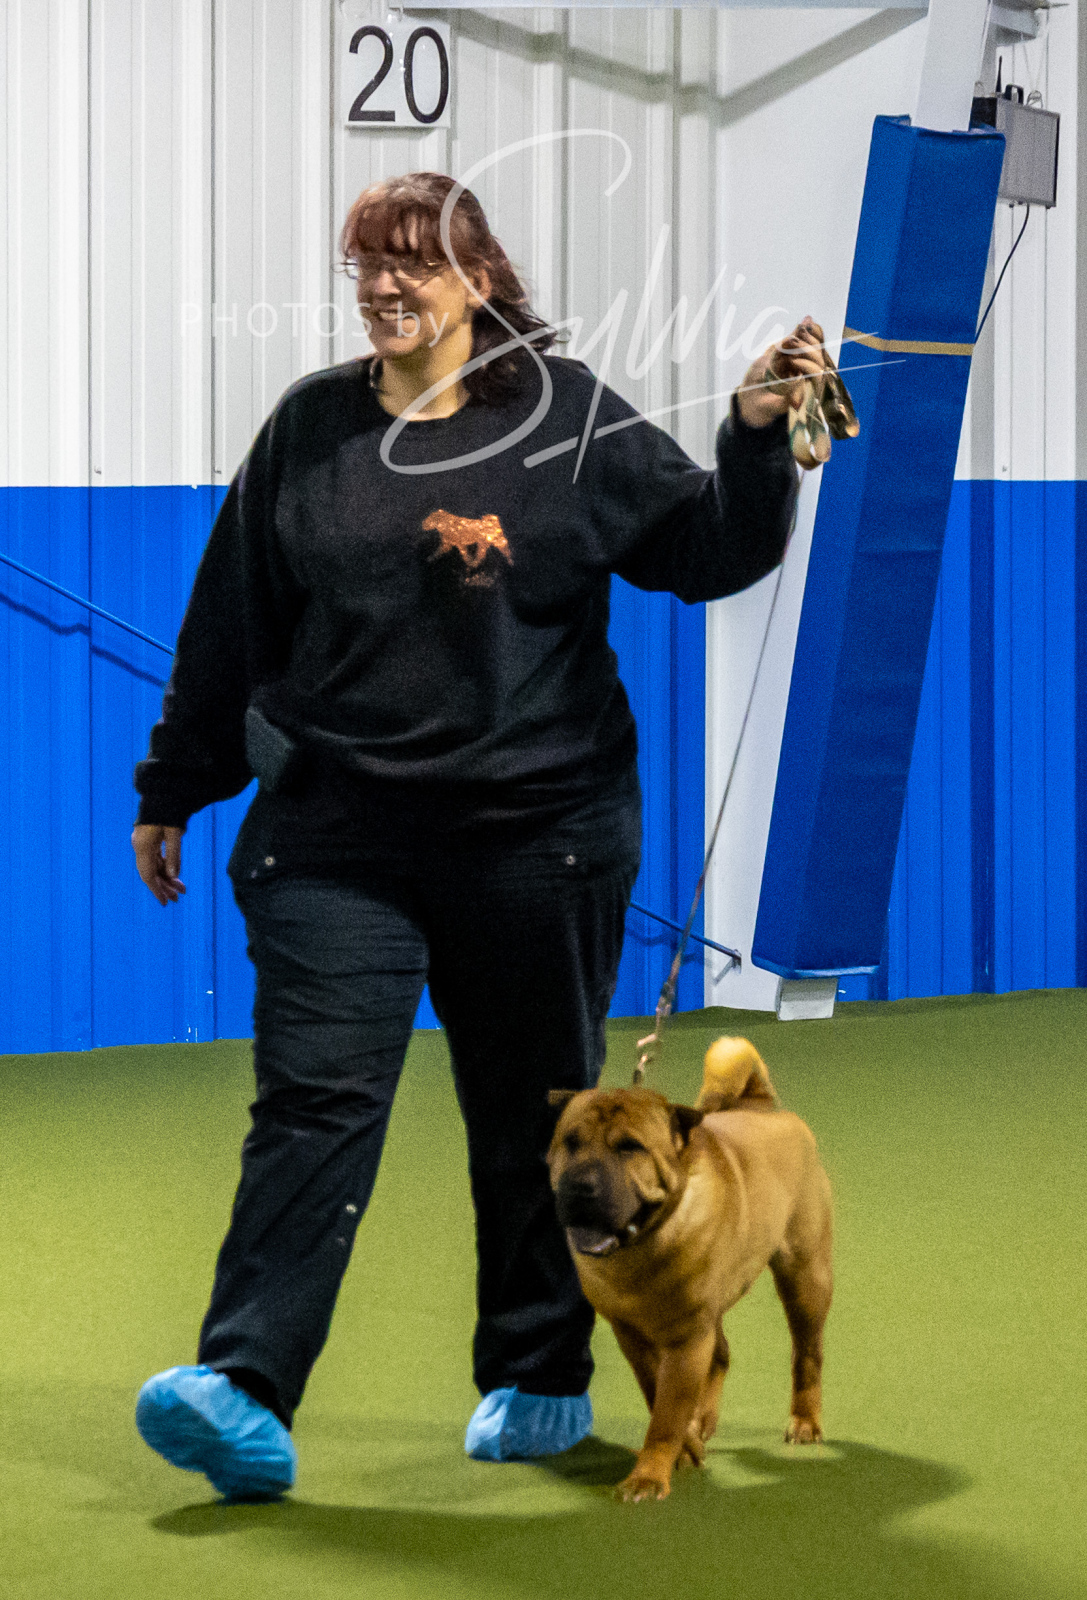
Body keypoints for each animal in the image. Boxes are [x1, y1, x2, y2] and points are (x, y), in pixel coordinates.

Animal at [547, 1037, 832, 1502]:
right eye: (570, 1142)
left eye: (629, 1147)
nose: (579, 1185)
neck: (644, 1245)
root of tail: (764, 1107)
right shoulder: (632, 1334)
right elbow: (657, 1394)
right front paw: (686, 1446)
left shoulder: (686, 1338)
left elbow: (667, 1413)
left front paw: (648, 1478)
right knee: (722, 1353)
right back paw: (705, 1421)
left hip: (805, 1276)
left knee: (807, 1354)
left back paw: (805, 1422)